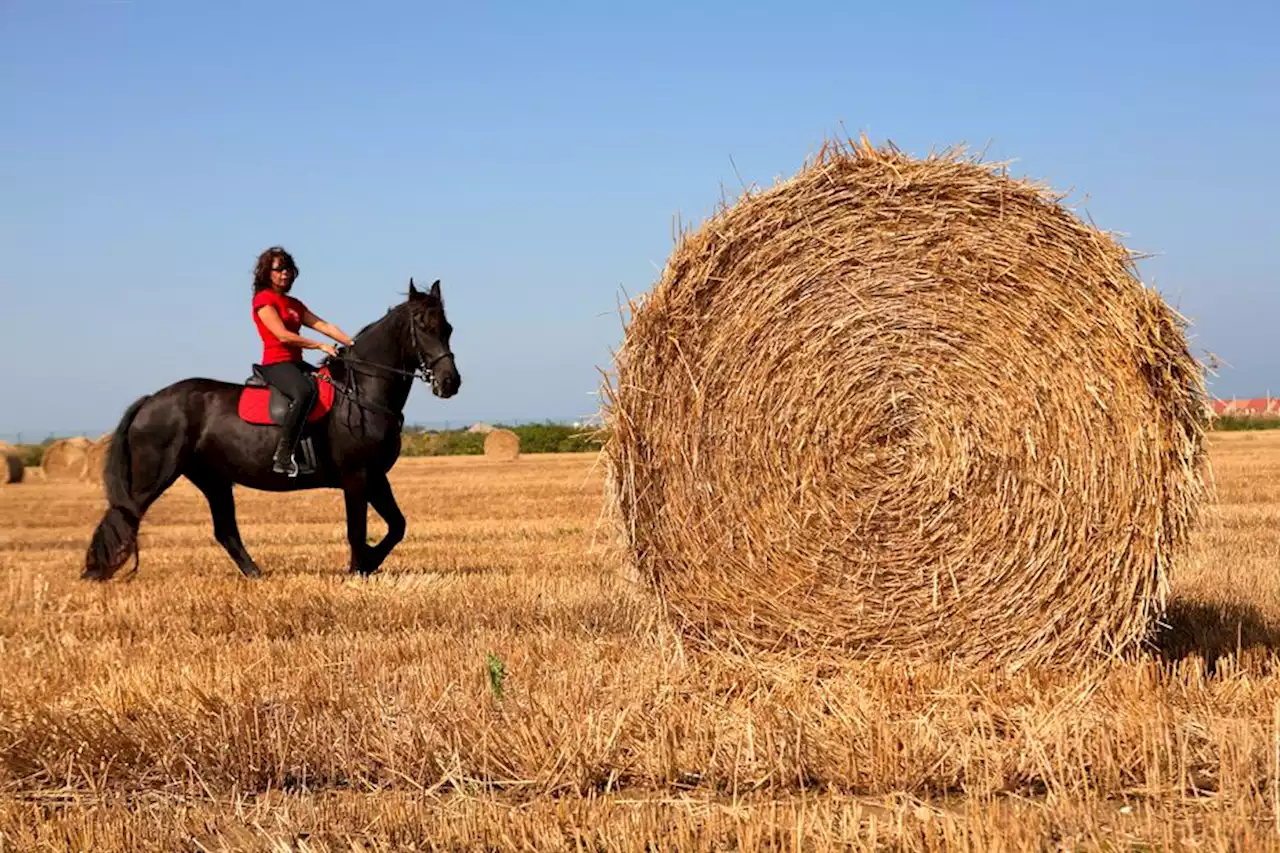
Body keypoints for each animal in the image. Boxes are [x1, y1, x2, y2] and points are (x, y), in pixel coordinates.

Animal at [82, 277, 460, 578]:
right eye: (422, 326)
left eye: (448, 328)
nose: (450, 382)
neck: (361, 391)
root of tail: (150, 400)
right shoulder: (357, 477)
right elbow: (357, 529)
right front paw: (357, 569)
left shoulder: (376, 477)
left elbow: (398, 526)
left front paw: (368, 563)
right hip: (153, 476)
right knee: (123, 515)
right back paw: (96, 572)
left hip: (213, 479)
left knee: (225, 531)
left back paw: (255, 573)